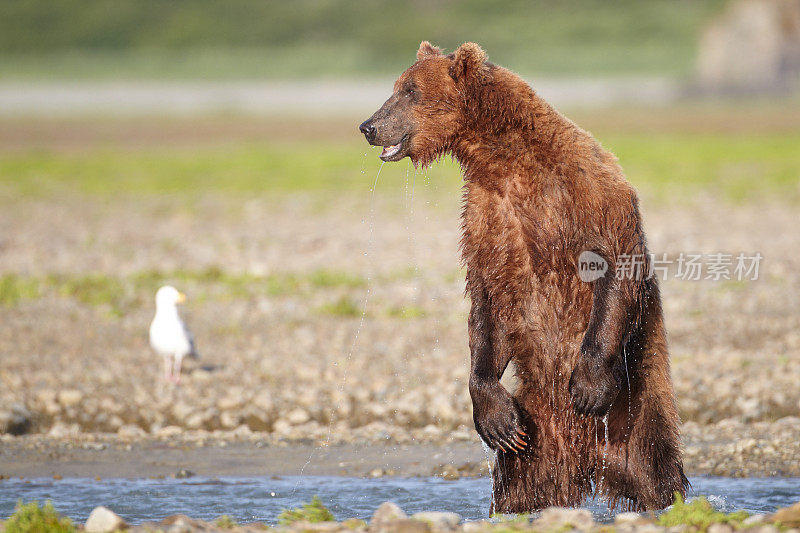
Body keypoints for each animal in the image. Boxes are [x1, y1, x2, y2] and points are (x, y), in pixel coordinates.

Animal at [360, 42, 688, 512]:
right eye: (397, 87)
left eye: (410, 91)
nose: (368, 126)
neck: (505, 160)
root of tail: (584, 464)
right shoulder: (488, 217)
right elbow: (488, 301)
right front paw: (491, 413)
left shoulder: (586, 191)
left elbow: (614, 264)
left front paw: (588, 386)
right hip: (533, 440)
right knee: (518, 485)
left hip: (634, 409)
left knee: (654, 474)